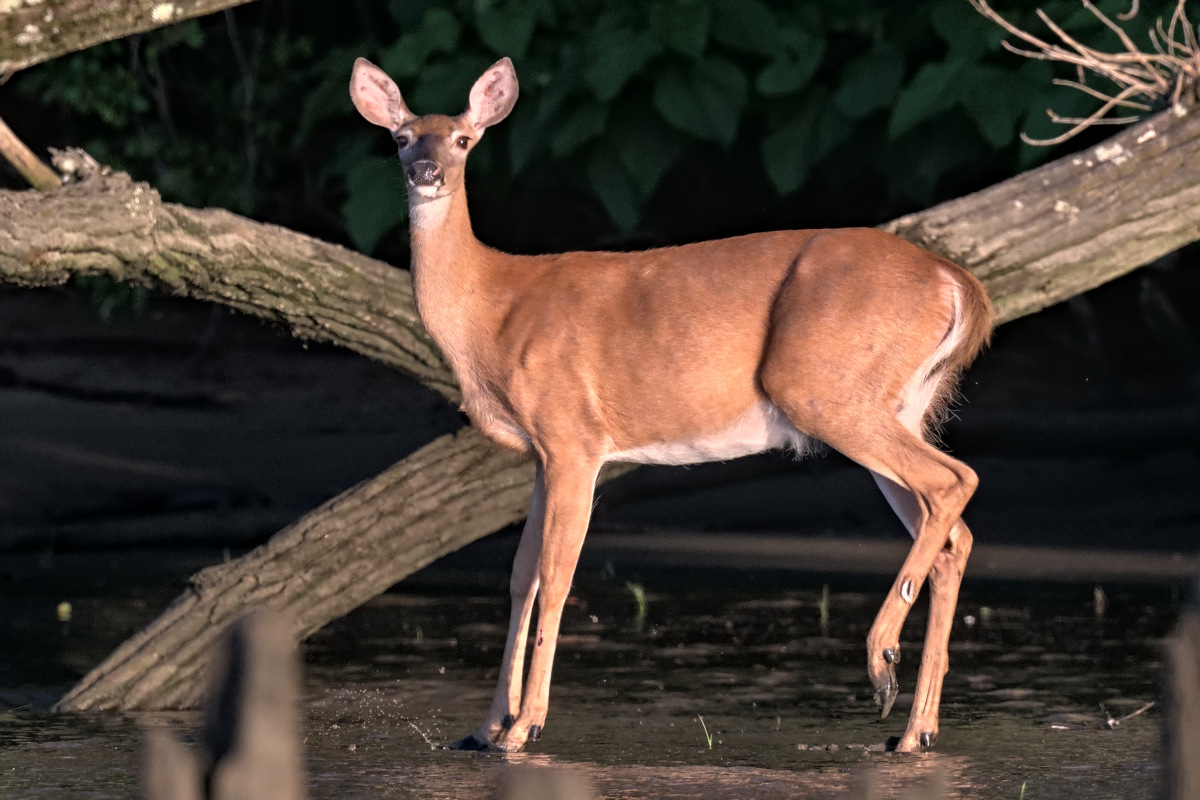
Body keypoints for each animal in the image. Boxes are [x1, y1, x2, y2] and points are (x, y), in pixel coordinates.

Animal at [348, 57, 993, 758]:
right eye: (402, 138)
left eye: (463, 140)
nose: (426, 172)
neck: (491, 312)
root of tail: (957, 282)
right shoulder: (542, 454)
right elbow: (522, 576)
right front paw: (486, 728)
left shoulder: (574, 435)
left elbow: (557, 573)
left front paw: (525, 727)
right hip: (897, 404)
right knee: (952, 530)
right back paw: (915, 729)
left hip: (822, 388)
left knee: (956, 479)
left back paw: (881, 663)